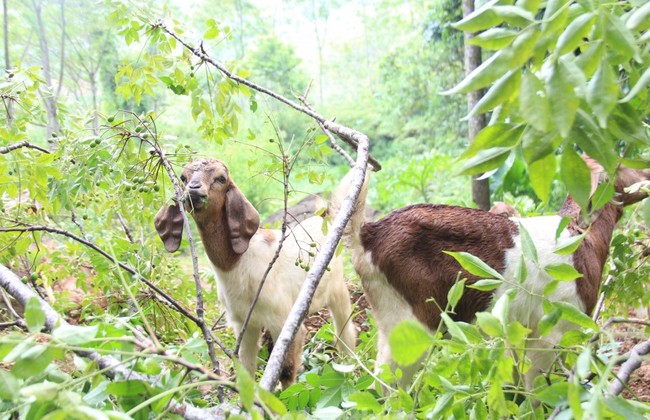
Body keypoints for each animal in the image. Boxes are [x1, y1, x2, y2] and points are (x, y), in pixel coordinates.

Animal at [154, 159, 356, 388]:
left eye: (221, 178)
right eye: (183, 177)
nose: (194, 190)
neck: (237, 264)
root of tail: (325, 219)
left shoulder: (283, 320)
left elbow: (286, 370)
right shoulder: (244, 323)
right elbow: (246, 368)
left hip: (338, 288)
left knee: (345, 332)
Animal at [340, 159, 648, 388]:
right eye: (623, 163)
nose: (646, 175)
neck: (582, 236)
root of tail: (367, 234)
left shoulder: (517, 329)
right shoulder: (552, 327)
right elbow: (534, 388)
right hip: (412, 319)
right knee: (386, 385)